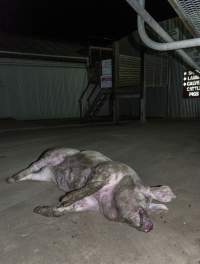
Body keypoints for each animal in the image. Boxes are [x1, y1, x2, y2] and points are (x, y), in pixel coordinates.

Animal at [6, 148, 175, 233]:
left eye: (151, 208)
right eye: (145, 199)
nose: (151, 226)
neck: (103, 198)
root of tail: (52, 169)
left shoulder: (86, 204)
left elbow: (62, 212)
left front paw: (39, 209)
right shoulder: (104, 170)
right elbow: (93, 185)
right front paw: (64, 200)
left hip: (44, 175)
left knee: (32, 174)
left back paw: (14, 180)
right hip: (53, 155)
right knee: (33, 165)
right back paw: (10, 179)